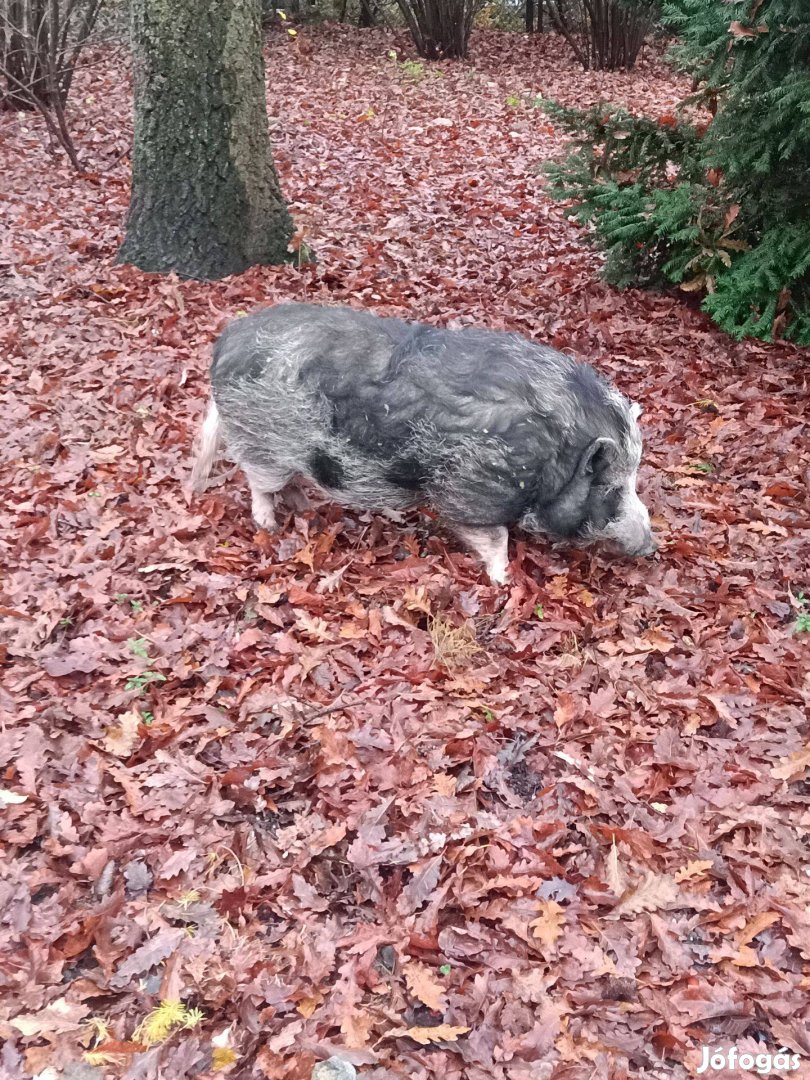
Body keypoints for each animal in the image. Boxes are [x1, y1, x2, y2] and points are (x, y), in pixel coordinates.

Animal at [193, 304, 656, 583]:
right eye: (613, 487)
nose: (652, 546)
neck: (556, 453)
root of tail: (223, 346)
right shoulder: (469, 488)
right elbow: (494, 539)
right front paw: (504, 580)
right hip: (261, 441)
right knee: (258, 483)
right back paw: (269, 525)